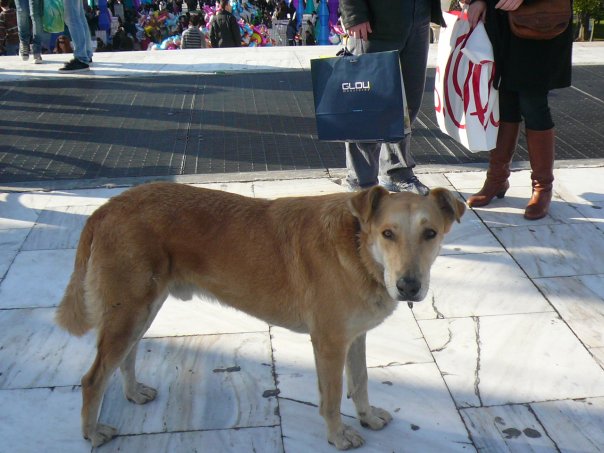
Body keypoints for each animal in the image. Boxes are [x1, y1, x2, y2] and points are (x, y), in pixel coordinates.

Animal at [55, 181, 462, 448]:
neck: (360, 248)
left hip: (141, 309)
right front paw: (337, 435)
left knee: (127, 356)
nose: (408, 287)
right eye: (388, 233)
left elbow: (360, 382)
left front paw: (367, 416)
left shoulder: (355, 336)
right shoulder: (329, 343)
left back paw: (133, 392)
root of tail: (108, 206)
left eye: (430, 233)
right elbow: (332, 399)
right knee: (93, 378)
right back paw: (91, 432)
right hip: (130, 310)